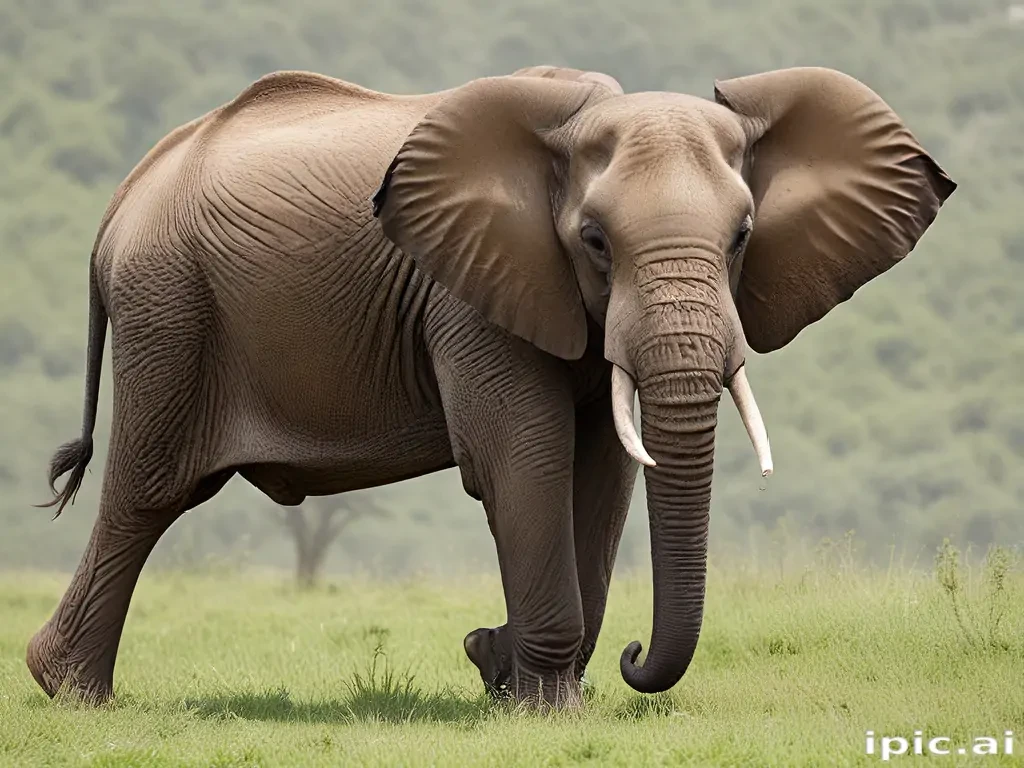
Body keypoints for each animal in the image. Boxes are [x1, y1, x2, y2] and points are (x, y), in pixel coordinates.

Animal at [29, 62, 954, 709]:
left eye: (743, 237)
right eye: (594, 241)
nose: (635, 659)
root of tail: (123, 199)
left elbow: (603, 471)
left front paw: (514, 676)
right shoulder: (467, 293)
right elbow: (525, 456)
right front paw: (543, 704)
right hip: (170, 310)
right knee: (147, 493)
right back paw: (73, 696)